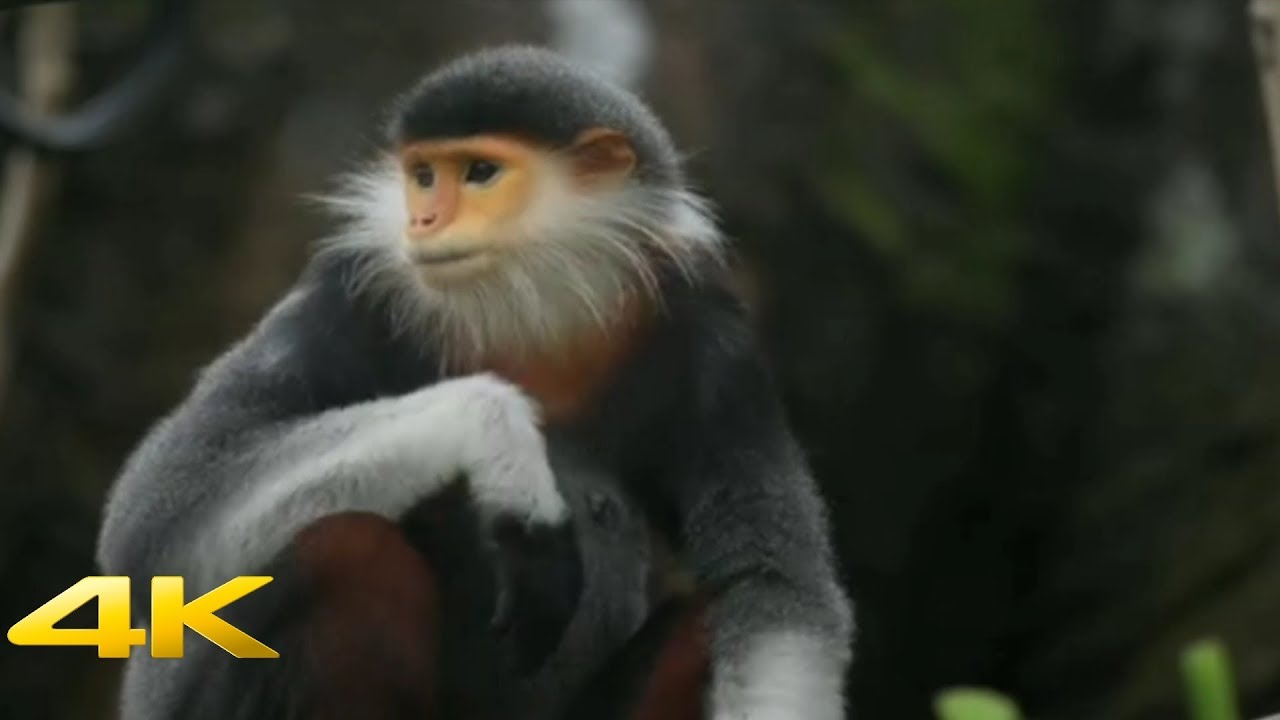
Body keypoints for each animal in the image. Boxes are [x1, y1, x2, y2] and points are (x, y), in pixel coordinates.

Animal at [96, 46, 853, 720]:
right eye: (424, 176)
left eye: (481, 172)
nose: (424, 220)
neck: (532, 308)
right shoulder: (348, 300)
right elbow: (156, 520)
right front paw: (503, 446)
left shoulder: (710, 344)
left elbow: (772, 587)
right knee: (340, 547)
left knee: (704, 621)